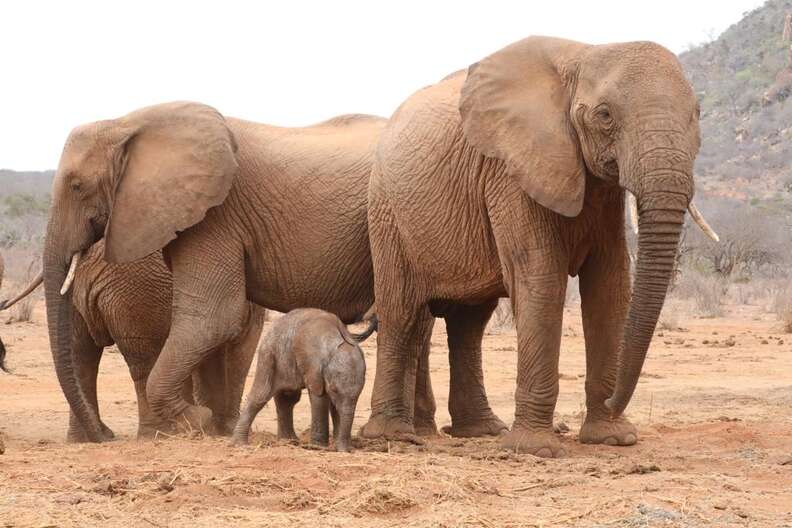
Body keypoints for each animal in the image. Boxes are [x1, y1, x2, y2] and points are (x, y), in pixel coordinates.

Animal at [2, 239, 264, 440]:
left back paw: (91, 437)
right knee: (144, 357)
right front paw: (222, 428)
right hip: (142, 288)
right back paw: (161, 434)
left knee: (80, 355)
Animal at [232, 308, 372, 452]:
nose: (346, 450)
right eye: (334, 390)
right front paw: (318, 447)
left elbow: (335, 406)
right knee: (261, 395)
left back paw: (289, 441)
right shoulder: (313, 367)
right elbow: (319, 398)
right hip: (269, 354)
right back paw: (240, 443)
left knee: (288, 399)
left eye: (360, 392)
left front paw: (339, 446)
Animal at [360, 36, 716, 457]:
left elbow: (611, 284)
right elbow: (541, 277)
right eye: (605, 115)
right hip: (387, 212)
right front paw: (538, 449)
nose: (615, 399)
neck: (584, 55)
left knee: (469, 324)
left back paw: (481, 431)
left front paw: (613, 438)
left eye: (697, 114)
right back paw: (390, 436)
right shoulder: (511, 171)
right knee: (400, 311)